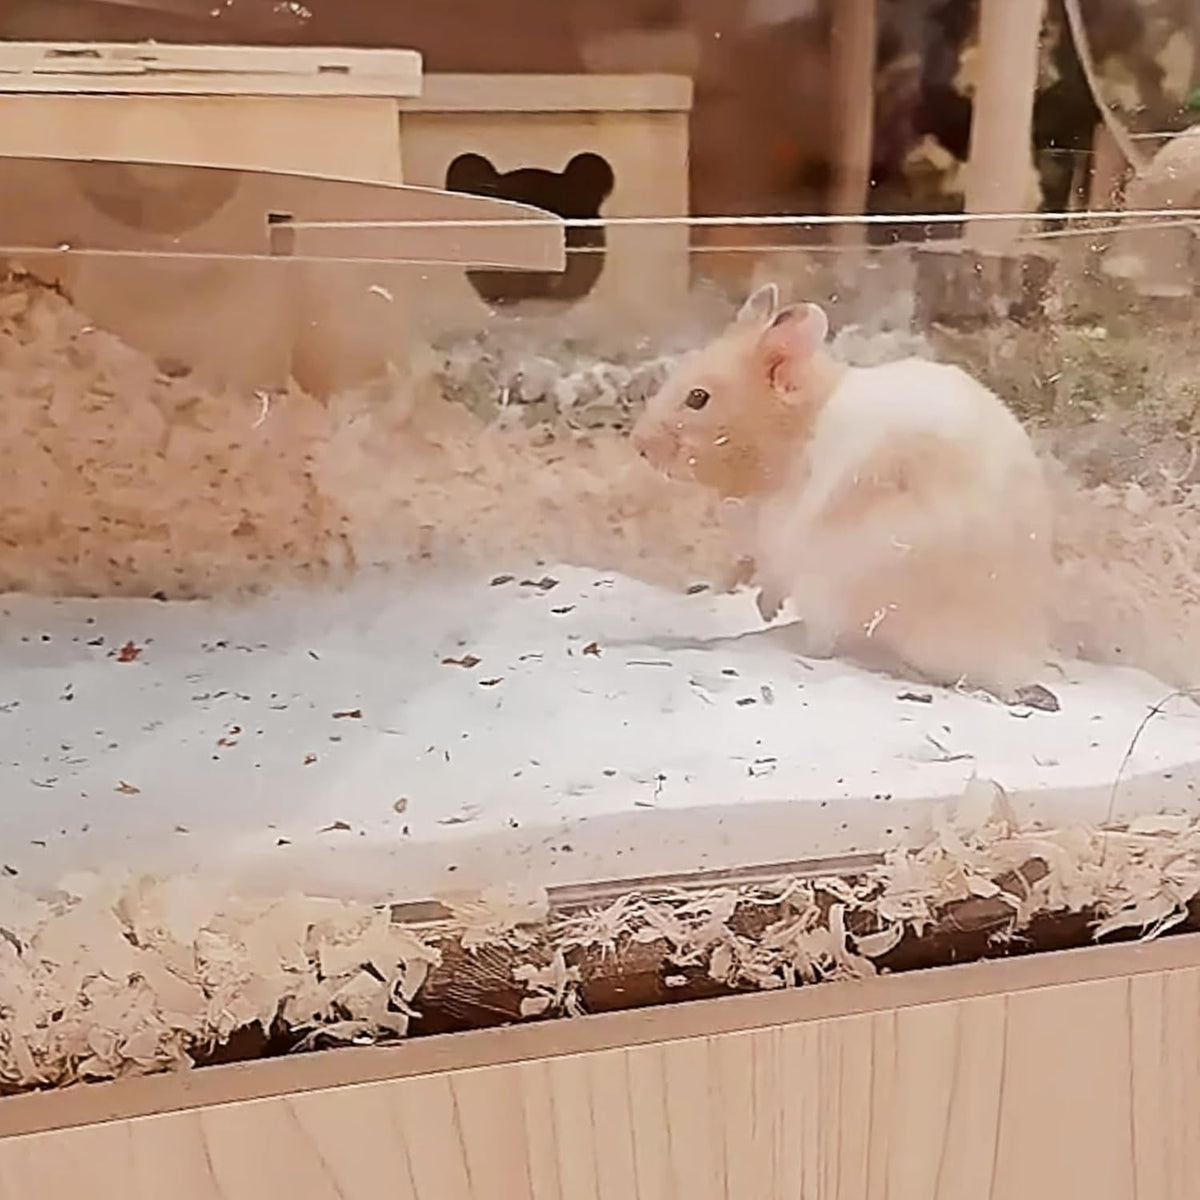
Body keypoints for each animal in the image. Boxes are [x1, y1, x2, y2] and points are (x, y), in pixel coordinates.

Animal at [631, 282, 1055, 698]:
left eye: (697, 398)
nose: (638, 444)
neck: (792, 436)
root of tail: (1007, 663)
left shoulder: (779, 542)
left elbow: (770, 577)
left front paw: (764, 608)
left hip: (840, 579)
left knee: (827, 641)